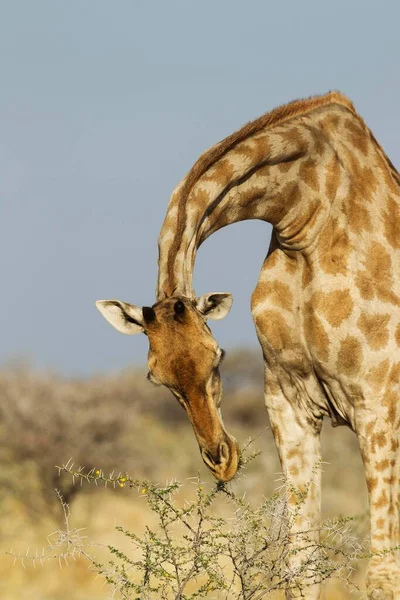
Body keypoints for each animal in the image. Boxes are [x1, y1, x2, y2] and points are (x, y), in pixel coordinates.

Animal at [97, 91, 400, 596]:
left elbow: (382, 575)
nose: (221, 459)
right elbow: (301, 567)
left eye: (217, 358)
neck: (307, 212)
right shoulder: (289, 401)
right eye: (156, 378)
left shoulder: (378, 402)